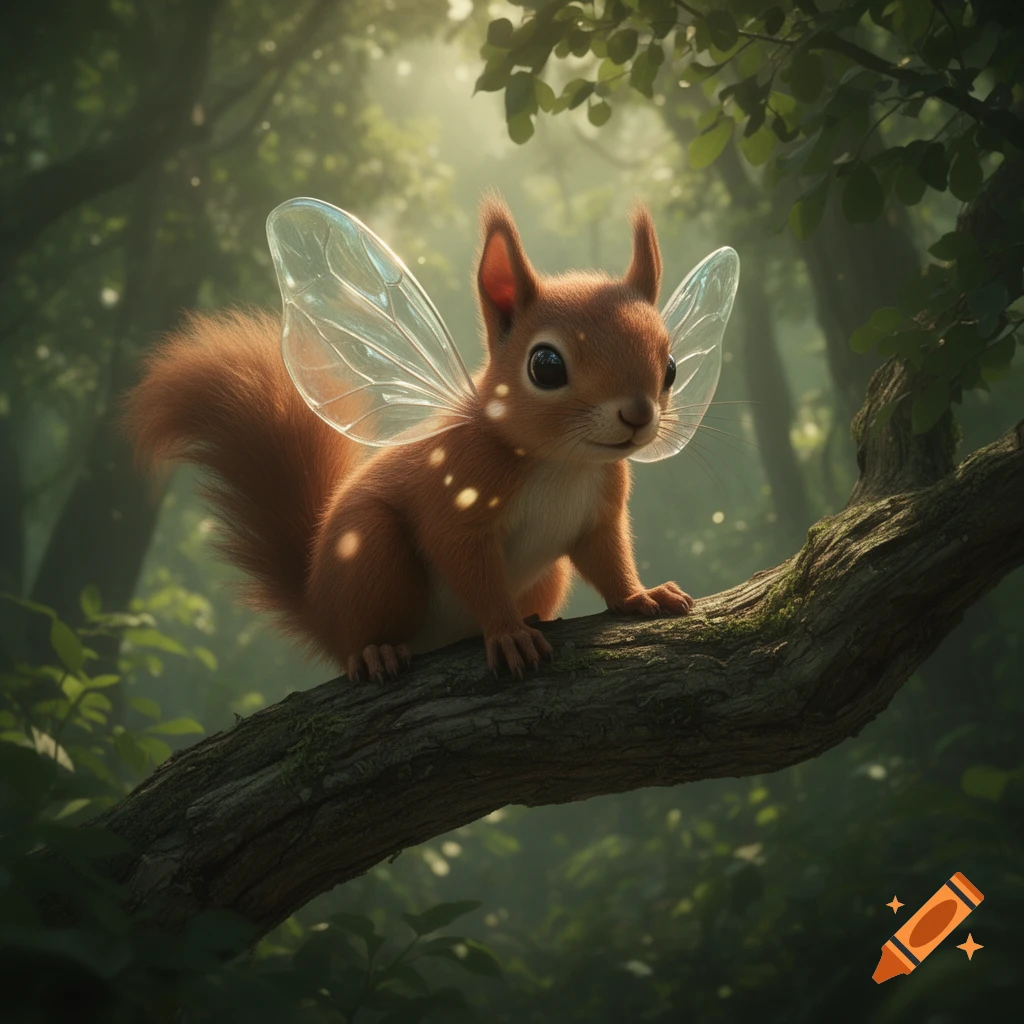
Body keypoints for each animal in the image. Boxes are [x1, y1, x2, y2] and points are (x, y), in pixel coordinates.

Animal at [125, 197, 734, 683]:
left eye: (672, 367)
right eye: (546, 365)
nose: (637, 414)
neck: (559, 463)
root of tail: (319, 608)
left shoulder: (598, 515)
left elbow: (608, 559)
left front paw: (641, 596)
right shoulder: (457, 499)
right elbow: (467, 564)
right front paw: (507, 633)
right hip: (370, 554)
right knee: (362, 635)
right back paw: (375, 652)